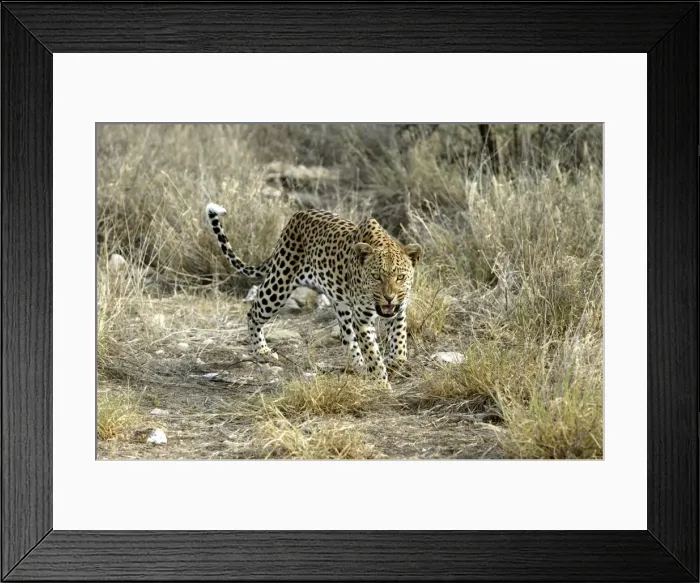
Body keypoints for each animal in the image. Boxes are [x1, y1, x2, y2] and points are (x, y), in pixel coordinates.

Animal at [205, 202, 422, 384]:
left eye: (401, 277)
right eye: (376, 277)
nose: (389, 297)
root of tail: (297, 215)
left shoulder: (398, 311)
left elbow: (400, 345)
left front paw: (392, 364)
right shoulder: (362, 319)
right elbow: (372, 353)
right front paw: (381, 381)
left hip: (340, 304)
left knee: (346, 336)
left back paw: (359, 366)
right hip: (278, 284)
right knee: (253, 313)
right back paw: (262, 351)